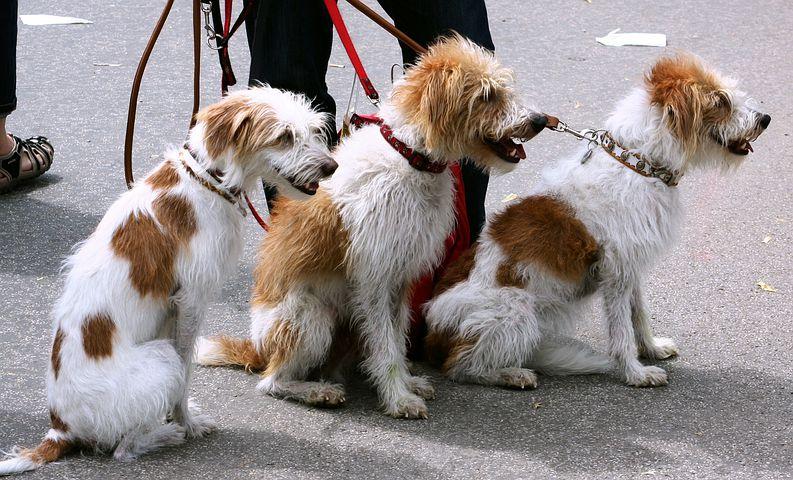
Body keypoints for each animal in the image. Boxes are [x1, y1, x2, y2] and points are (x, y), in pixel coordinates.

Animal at [0, 87, 336, 476]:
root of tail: (60, 428)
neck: (208, 180)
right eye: (284, 137)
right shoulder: (190, 302)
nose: (331, 167)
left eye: (314, 130)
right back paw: (168, 434)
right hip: (161, 359)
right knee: (123, 449)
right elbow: (186, 369)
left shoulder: (176, 309)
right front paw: (185, 421)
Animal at [195, 36, 548, 420]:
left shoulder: (402, 278)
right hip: (311, 316)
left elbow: (396, 337)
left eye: (504, 87)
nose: (540, 120)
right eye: (487, 95)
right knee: (271, 382)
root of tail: (257, 347)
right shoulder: (374, 279)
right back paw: (317, 391)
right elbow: (386, 345)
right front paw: (398, 397)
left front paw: (407, 383)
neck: (409, 157)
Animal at [424, 52, 772, 390]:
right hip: (515, 309)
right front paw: (634, 372)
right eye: (721, 100)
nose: (764, 119)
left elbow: (639, 313)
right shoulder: (616, 273)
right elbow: (621, 329)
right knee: (461, 367)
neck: (638, 164)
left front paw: (651, 348)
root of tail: (431, 335)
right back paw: (511, 374)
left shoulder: (632, 265)